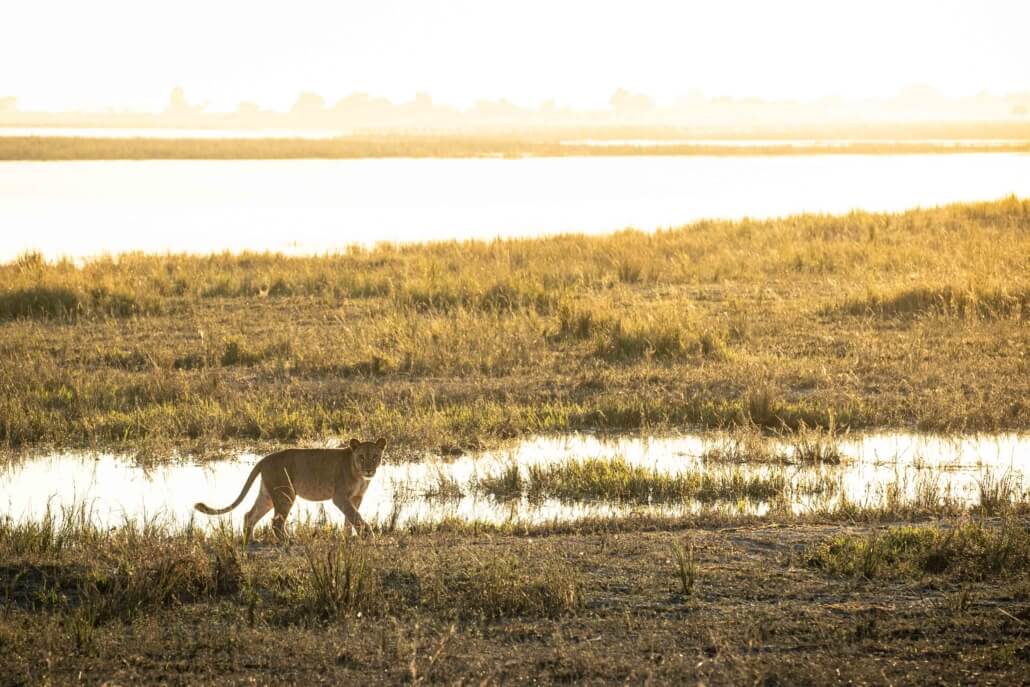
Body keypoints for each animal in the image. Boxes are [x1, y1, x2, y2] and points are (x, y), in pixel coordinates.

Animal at [194, 438, 387, 543]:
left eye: (375, 457)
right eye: (361, 457)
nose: (369, 470)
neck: (359, 474)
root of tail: (264, 459)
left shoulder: (356, 498)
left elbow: (351, 518)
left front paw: (348, 538)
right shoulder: (339, 497)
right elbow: (355, 516)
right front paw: (368, 536)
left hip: (268, 495)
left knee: (250, 515)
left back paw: (251, 540)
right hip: (285, 493)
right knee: (276, 522)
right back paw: (288, 541)